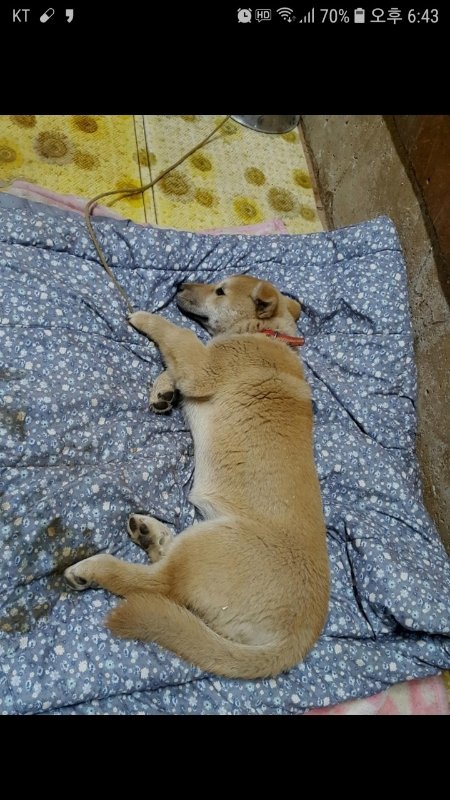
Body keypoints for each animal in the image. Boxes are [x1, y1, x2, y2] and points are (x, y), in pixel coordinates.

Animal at [65, 275, 329, 679]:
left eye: (220, 290)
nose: (178, 283)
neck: (266, 333)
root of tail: (299, 636)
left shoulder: (205, 367)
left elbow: (179, 335)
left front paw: (147, 318)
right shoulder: (198, 364)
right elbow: (177, 358)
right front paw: (163, 390)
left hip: (210, 544)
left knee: (155, 584)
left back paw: (94, 568)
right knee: (163, 565)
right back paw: (151, 533)